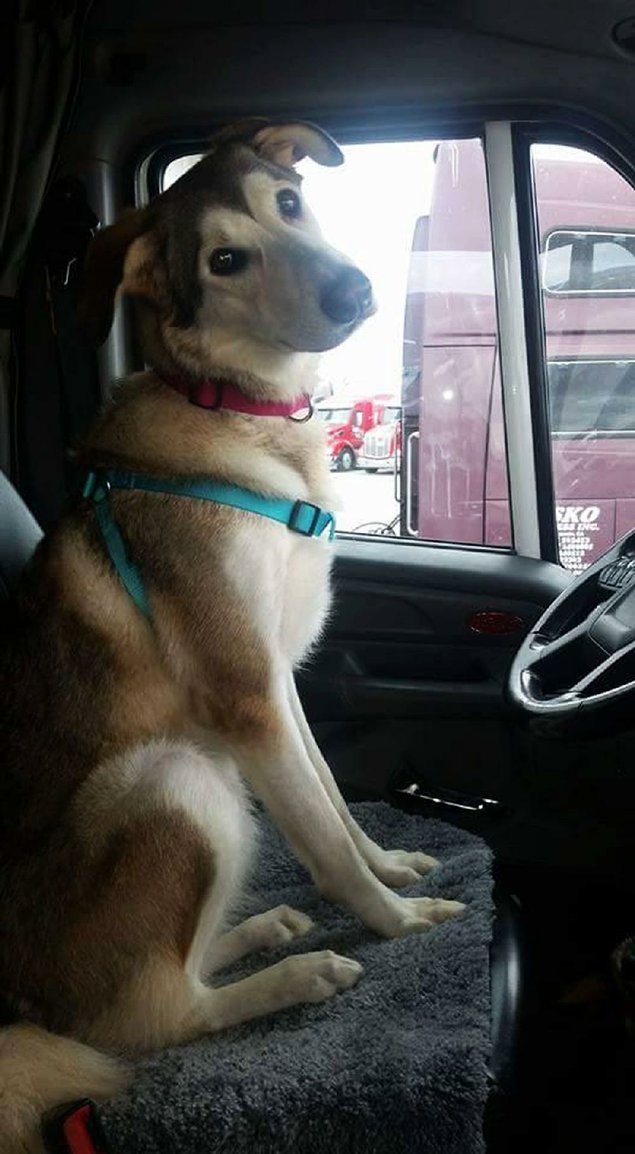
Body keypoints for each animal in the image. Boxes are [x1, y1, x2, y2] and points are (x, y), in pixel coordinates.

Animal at [0, 119, 464, 1154]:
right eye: (223, 261)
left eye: (287, 203)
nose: (354, 291)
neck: (239, 413)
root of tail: (13, 1008)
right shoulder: (246, 697)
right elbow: (326, 843)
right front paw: (395, 918)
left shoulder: (278, 681)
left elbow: (330, 801)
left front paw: (391, 868)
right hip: (175, 777)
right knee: (145, 1016)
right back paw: (295, 975)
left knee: (180, 958)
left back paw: (258, 934)